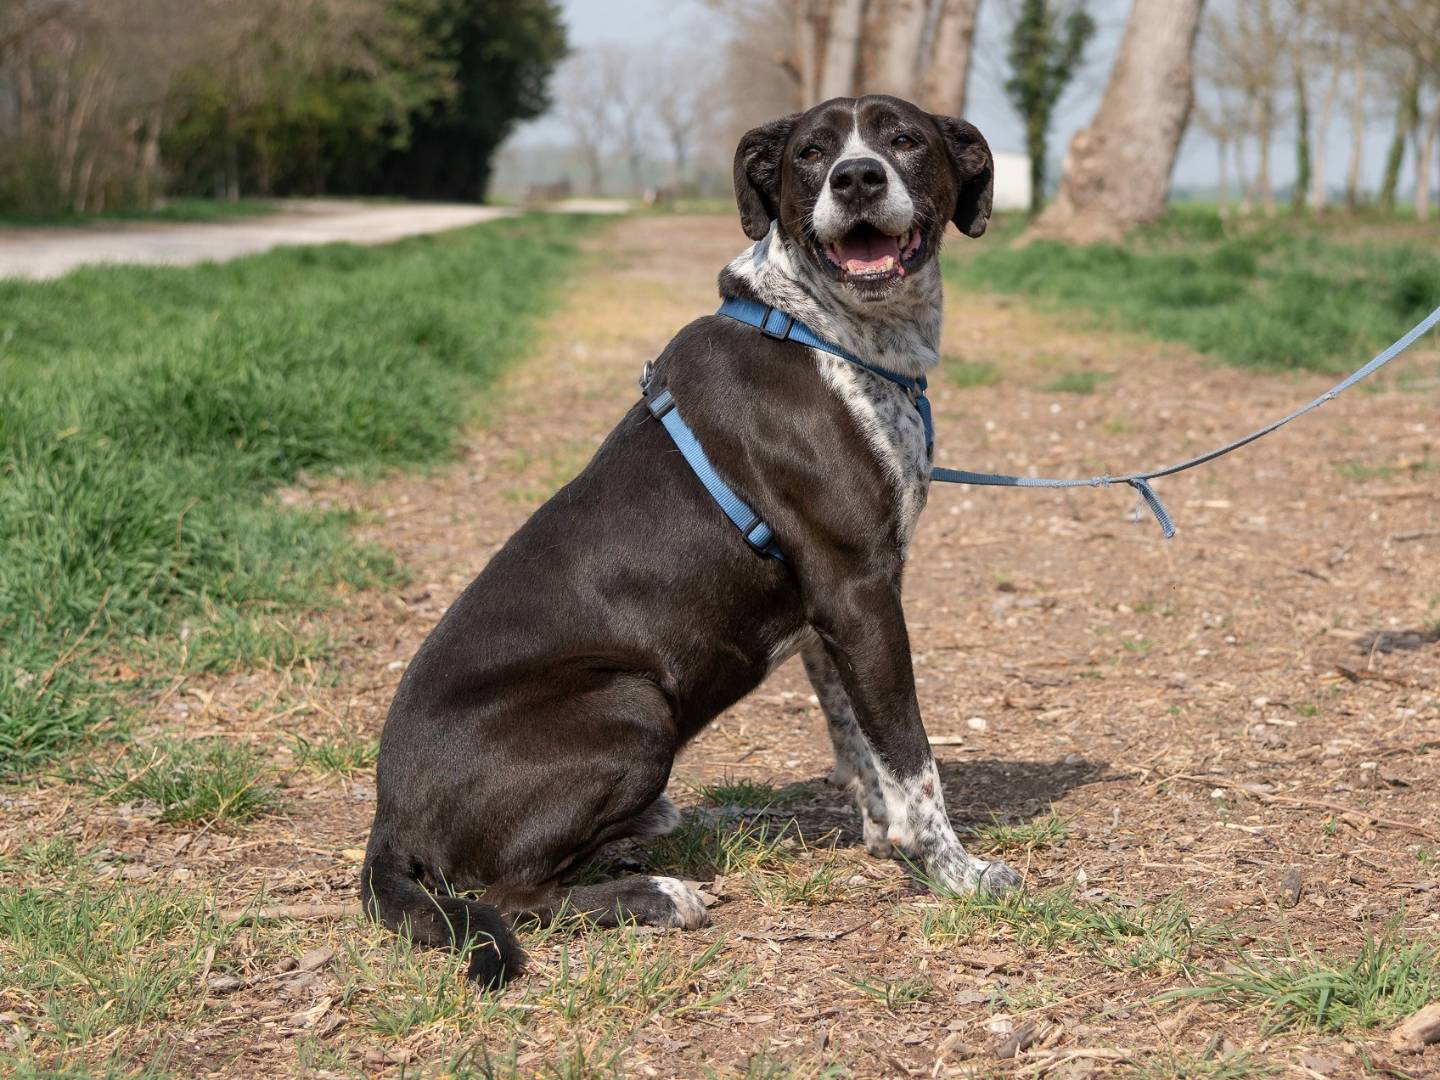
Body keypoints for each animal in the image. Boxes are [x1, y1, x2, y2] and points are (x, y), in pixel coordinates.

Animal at [365, 95, 1019, 990]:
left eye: (905, 139)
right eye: (812, 154)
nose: (856, 179)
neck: (824, 333)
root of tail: (386, 821)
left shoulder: (829, 618)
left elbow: (858, 740)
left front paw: (886, 839)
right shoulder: (861, 591)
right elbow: (913, 754)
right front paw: (957, 873)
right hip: (633, 706)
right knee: (512, 892)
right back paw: (656, 895)